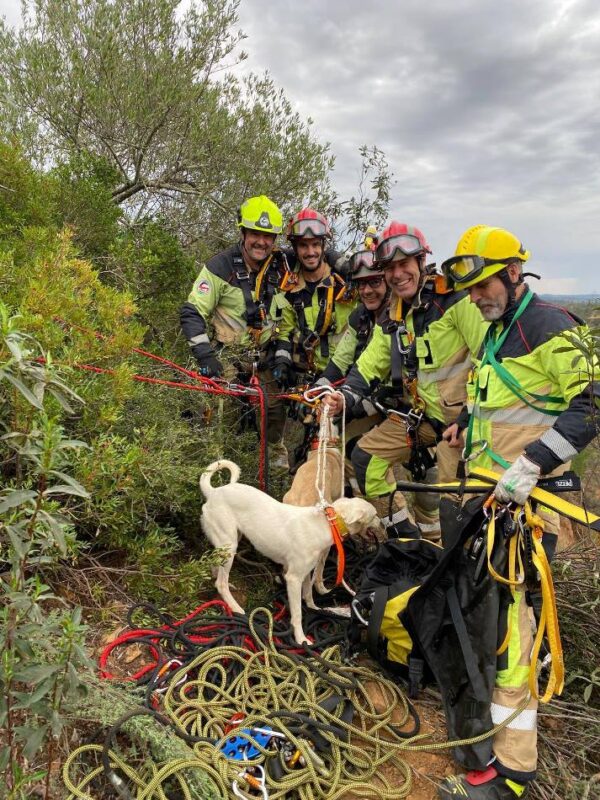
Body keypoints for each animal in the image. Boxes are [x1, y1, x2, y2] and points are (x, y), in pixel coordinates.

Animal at [202, 460, 380, 640]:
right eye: (375, 515)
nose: (382, 524)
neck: (327, 523)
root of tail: (214, 492)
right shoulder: (293, 578)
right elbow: (297, 614)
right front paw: (301, 639)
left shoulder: (306, 572)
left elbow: (308, 595)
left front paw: (316, 610)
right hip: (230, 545)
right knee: (220, 583)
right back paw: (235, 607)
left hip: (228, 542)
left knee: (215, 566)